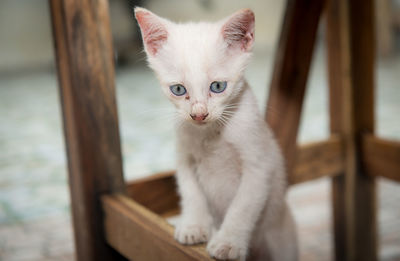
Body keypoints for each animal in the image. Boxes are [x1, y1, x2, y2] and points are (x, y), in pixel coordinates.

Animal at [134, 8, 296, 260]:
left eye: (217, 86)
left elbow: (242, 207)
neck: (211, 134)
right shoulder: (185, 160)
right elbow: (191, 194)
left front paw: (228, 243)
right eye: (178, 89)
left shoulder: (259, 166)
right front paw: (194, 226)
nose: (199, 114)